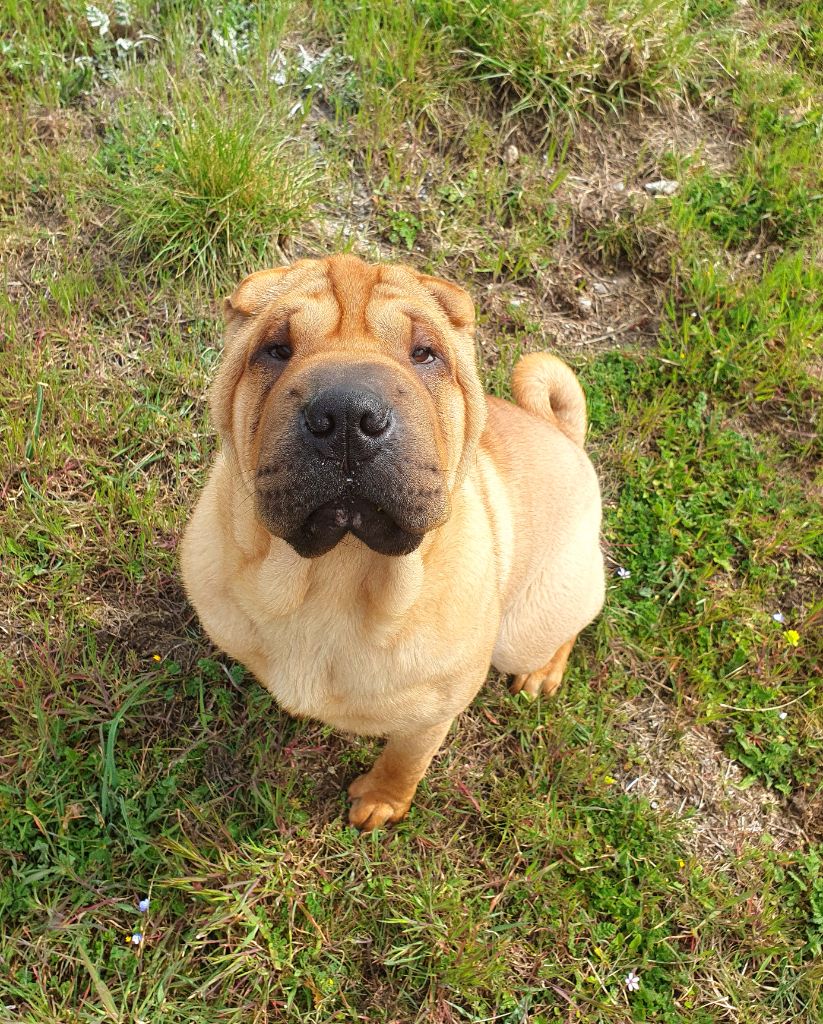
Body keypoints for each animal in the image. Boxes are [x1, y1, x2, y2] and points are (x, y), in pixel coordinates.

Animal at [180, 254, 604, 829]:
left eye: (424, 353)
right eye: (276, 348)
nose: (347, 415)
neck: (332, 578)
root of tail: (562, 435)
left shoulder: (433, 712)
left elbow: (406, 759)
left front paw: (381, 801)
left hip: (524, 630)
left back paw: (542, 672)